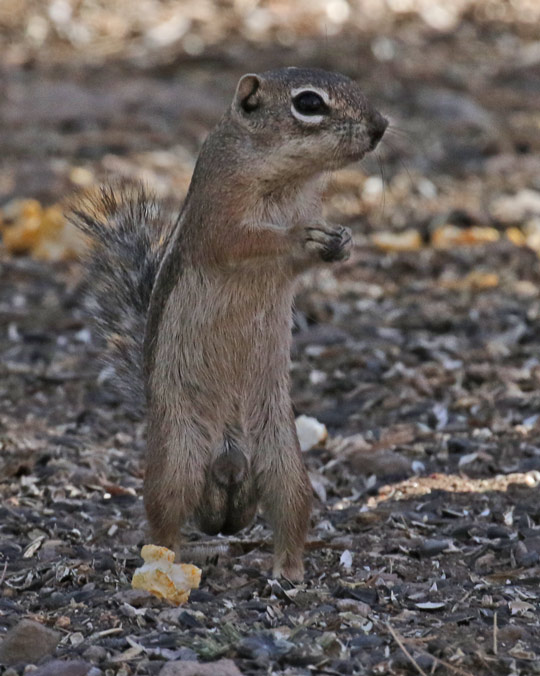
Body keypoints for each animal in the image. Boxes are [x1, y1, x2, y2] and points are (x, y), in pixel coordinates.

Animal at [71, 67, 387, 581]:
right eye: (309, 104)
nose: (380, 126)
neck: (285, 180)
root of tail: (229, 464)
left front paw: (342, 241)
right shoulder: (220, 216)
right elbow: (243, 241)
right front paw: (299, 237)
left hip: (283, 461)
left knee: (289, 512)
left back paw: (288, 570)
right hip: (178, 458)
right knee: (164, 523)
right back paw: (175, 559)